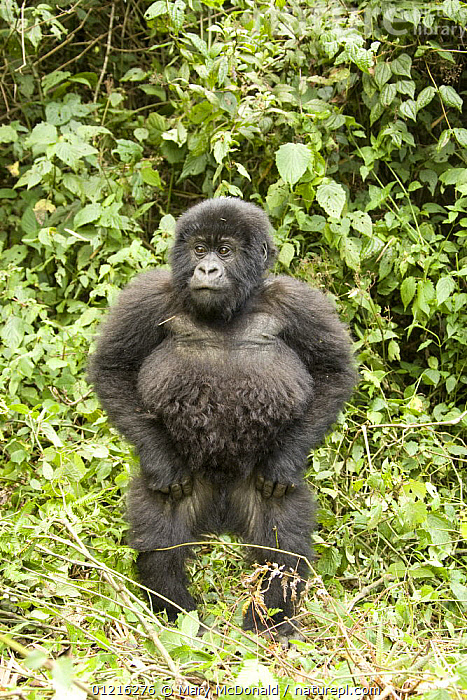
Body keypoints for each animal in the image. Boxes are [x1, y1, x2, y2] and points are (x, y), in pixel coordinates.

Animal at [89, 198, 356, 640]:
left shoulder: (299, 301)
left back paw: (270, 625)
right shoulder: (148, 296)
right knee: (161, 542)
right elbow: (113, 367)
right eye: (199, 249)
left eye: (225, 252)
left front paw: (283, 462)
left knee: (280, 546)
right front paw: (162, 462)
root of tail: (221, 514)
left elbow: (333, 372)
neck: (231, 310)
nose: (208, 270)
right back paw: (179, 618)